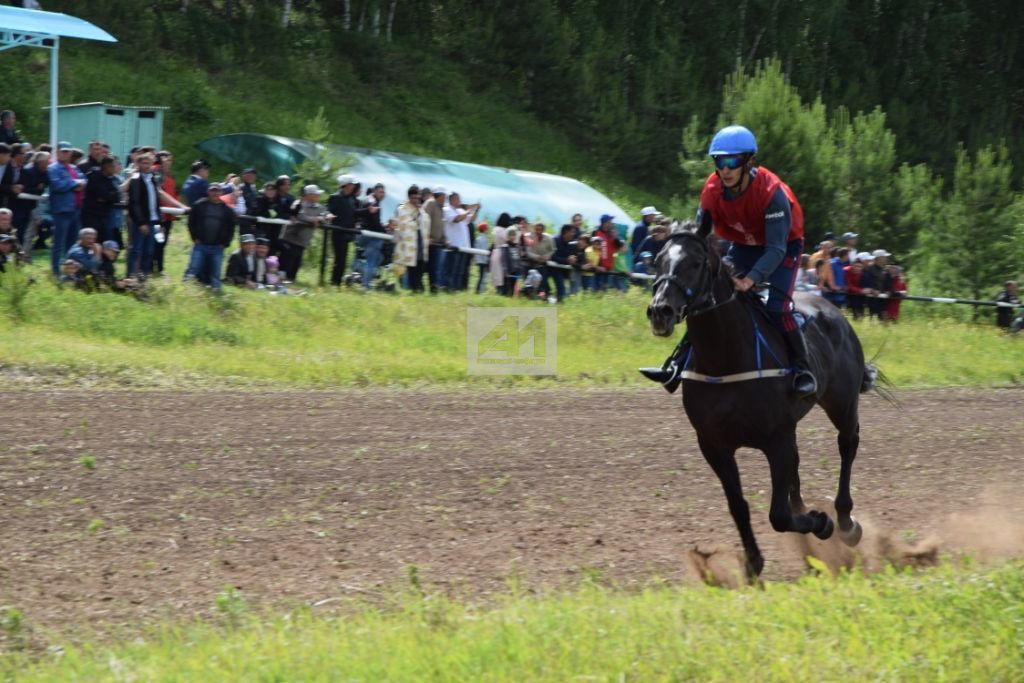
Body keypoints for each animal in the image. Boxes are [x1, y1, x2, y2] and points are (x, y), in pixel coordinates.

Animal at [647, 222, 872, 581]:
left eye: (695, 263)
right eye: (657, 260)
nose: (660, 311)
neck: (724, 359)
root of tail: (834, 309)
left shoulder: (776, 439)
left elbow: (778, 515)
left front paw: (821, 522)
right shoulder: (714, 445)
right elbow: (738, 505)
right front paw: (753, 562)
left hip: (842, 403)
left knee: (847, 444)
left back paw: (845, 522)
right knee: (798, 468)